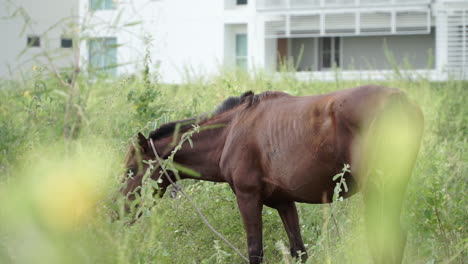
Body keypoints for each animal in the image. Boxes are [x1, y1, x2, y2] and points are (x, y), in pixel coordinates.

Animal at [121, 85, 424, 262]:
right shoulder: (284, 202)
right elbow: (299, 251)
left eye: (131, 170)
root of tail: (401, 102)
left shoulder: (248, 198)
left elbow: (255, 252)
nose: (117, 211)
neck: (232, 132)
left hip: (378, 190)